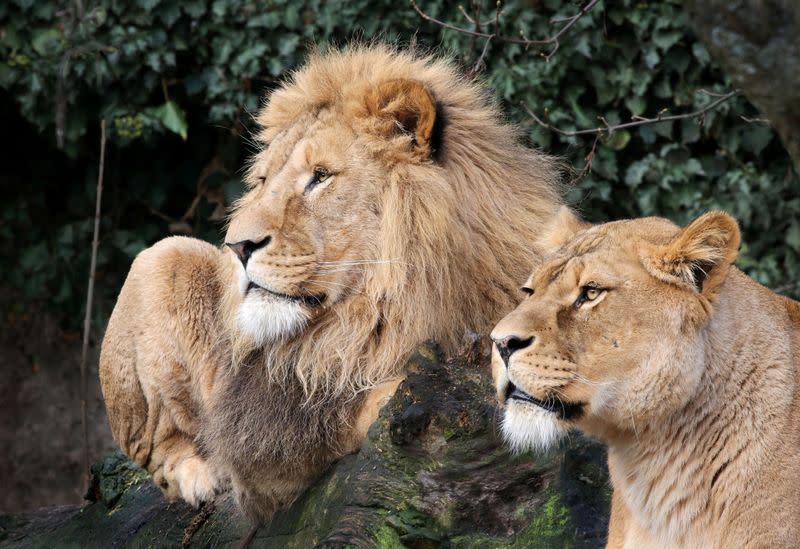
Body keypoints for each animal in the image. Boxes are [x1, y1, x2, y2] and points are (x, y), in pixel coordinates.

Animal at [100, 45, 564, 520]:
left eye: (320, 176)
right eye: (262, 181)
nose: (237, 246)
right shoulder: (282, 435)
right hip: (161, 257)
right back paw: (201, 478)